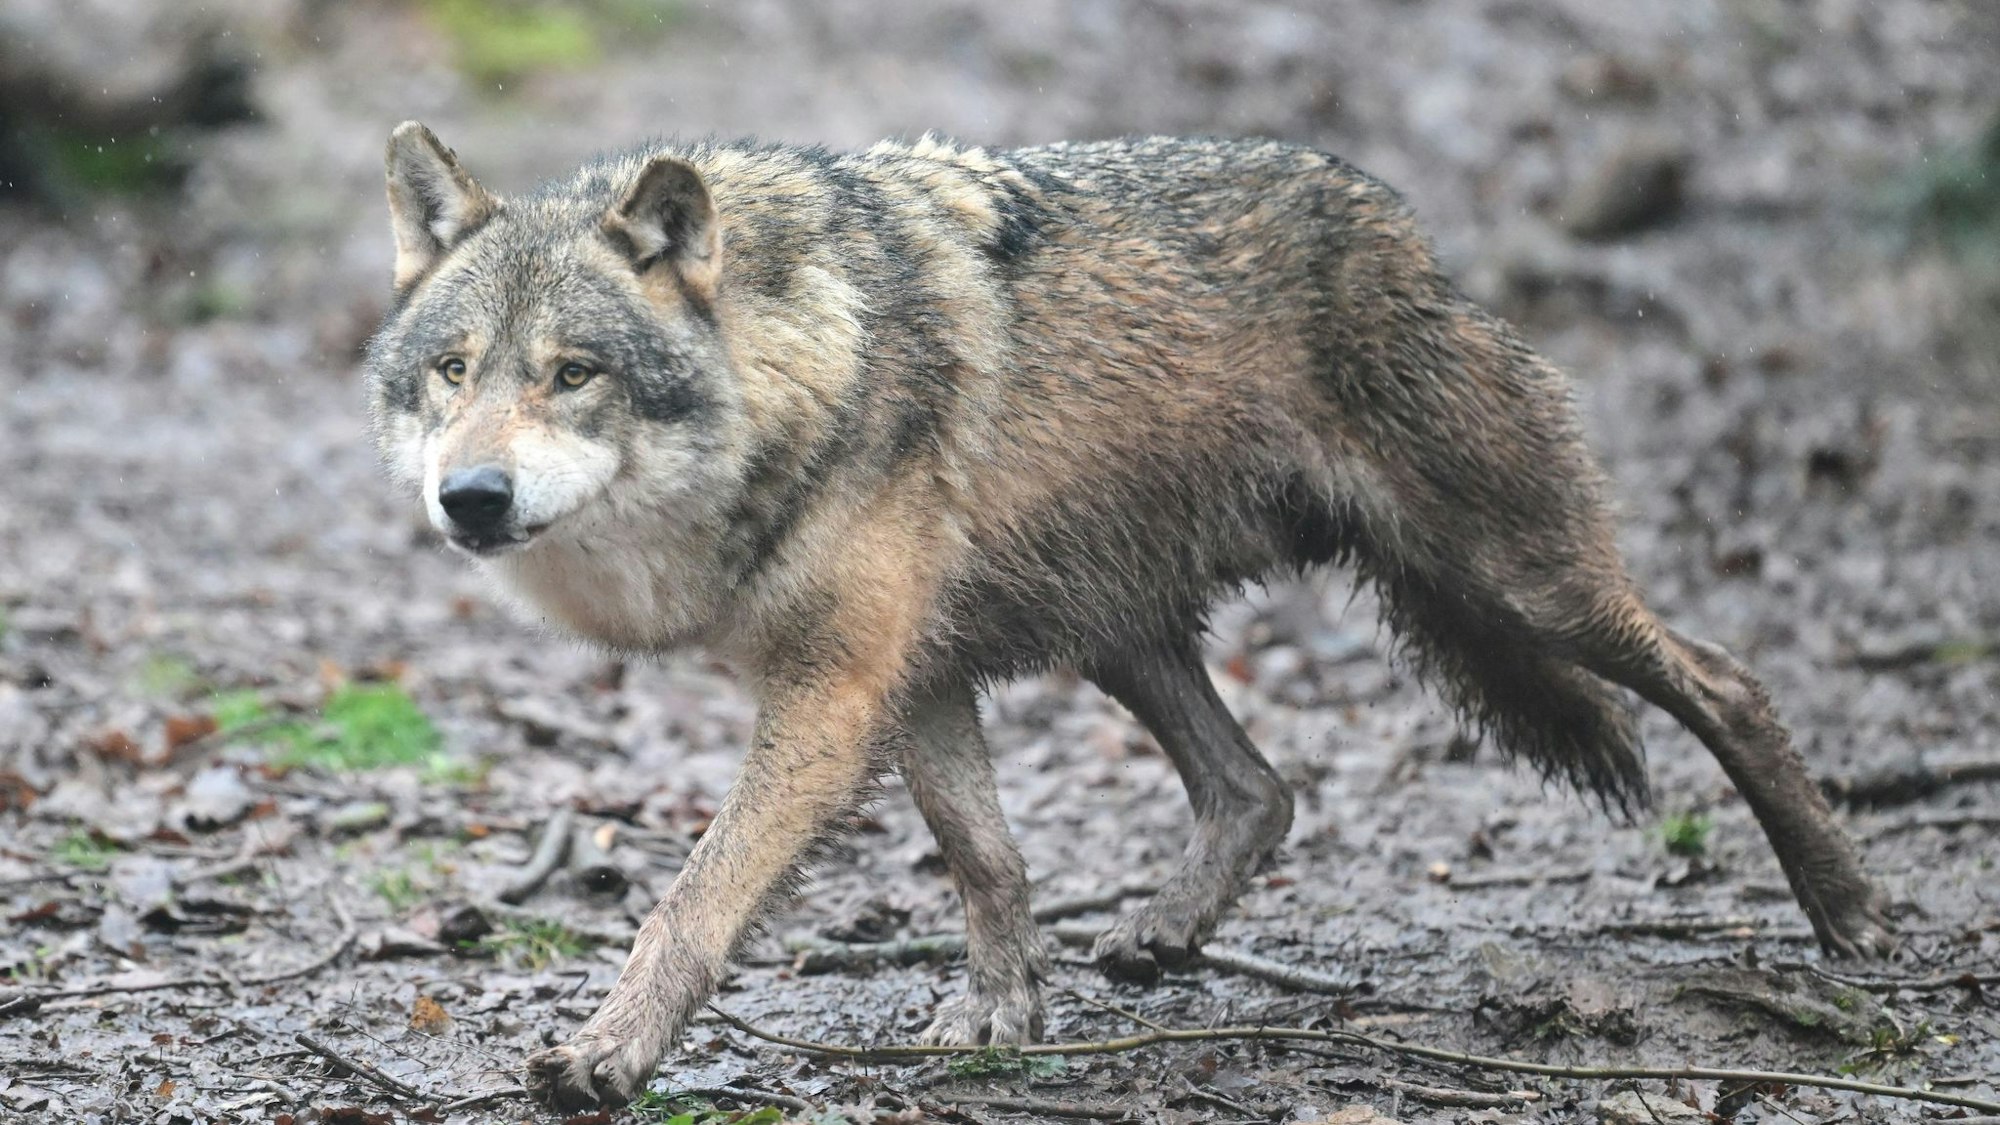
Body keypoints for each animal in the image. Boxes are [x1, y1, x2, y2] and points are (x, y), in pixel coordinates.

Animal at [365, 122, 1893, 1108]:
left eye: (572, 373)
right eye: (453, 370)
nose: (471, 498)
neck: (799, 366)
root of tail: (1405, 230)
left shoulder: (835, 690)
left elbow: (691, 900)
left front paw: (605, 1055)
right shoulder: (913, 677)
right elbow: (986, 858)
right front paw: (1001, 1015)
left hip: (1516, 581)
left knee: (1726, 679)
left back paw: (1849, 914)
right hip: (1120, 629)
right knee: (1259, 787)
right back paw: (1161, 933)